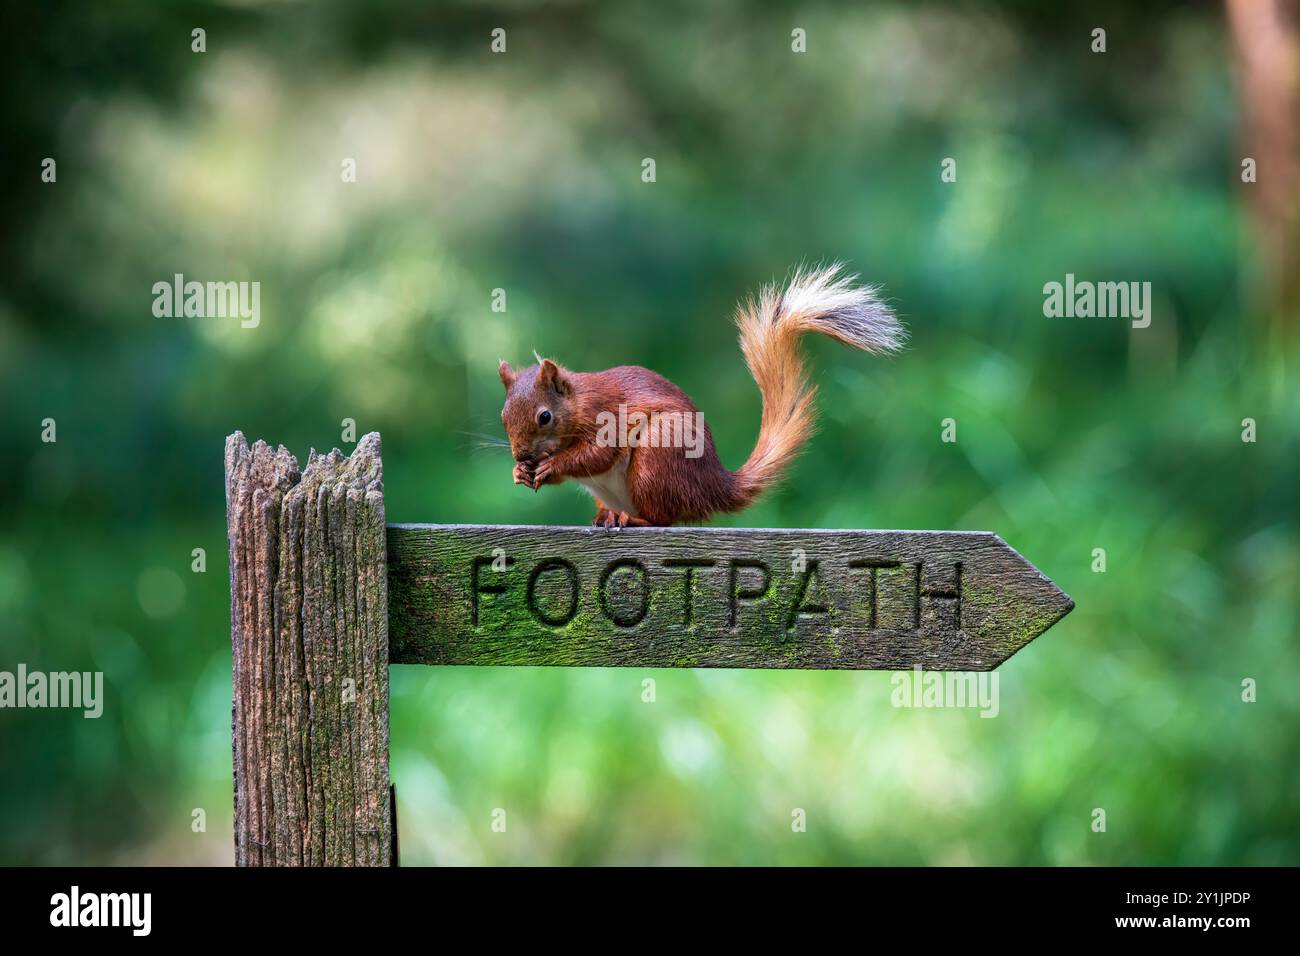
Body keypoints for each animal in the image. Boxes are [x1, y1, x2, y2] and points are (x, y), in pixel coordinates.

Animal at [498, 264, 904, 527]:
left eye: (545, 416)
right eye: (503, 417)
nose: (521, 455)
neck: (578, 401)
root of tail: (713, 487)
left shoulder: (605, 415)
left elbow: (596, 454)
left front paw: (551, 465)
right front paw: (520, 473)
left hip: (658, 454)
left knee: (664, 517)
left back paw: (635, 519)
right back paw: (607, 515)